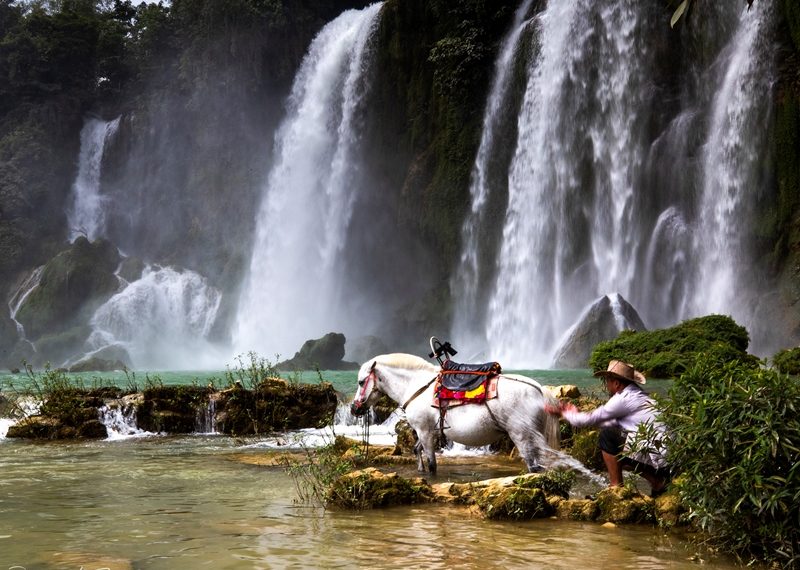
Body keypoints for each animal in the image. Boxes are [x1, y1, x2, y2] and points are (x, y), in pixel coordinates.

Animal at [354, 352, 560, 472]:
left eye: (361, 382)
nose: (355, 408)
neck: (416, 385)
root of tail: (539, 389)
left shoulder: (425, 431)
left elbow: (432, 464)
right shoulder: (427, 432)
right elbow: (416, 450)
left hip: (521, 435)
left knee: (533, 467)